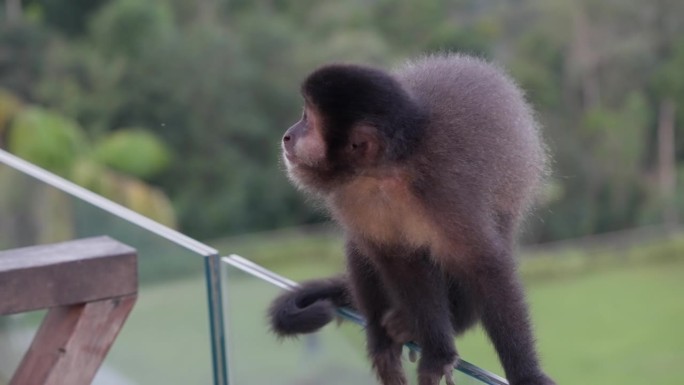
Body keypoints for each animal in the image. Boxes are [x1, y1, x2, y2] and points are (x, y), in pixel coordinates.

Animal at [268, 53, 556, 384]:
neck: (391, 171)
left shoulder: (444, 188)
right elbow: (401, 260)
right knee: (364, 249)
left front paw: (526, 374)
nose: (288, 135)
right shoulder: (354, 195)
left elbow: (483, 265)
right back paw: (383, 337)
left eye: (307, 121)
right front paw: (438, 352)